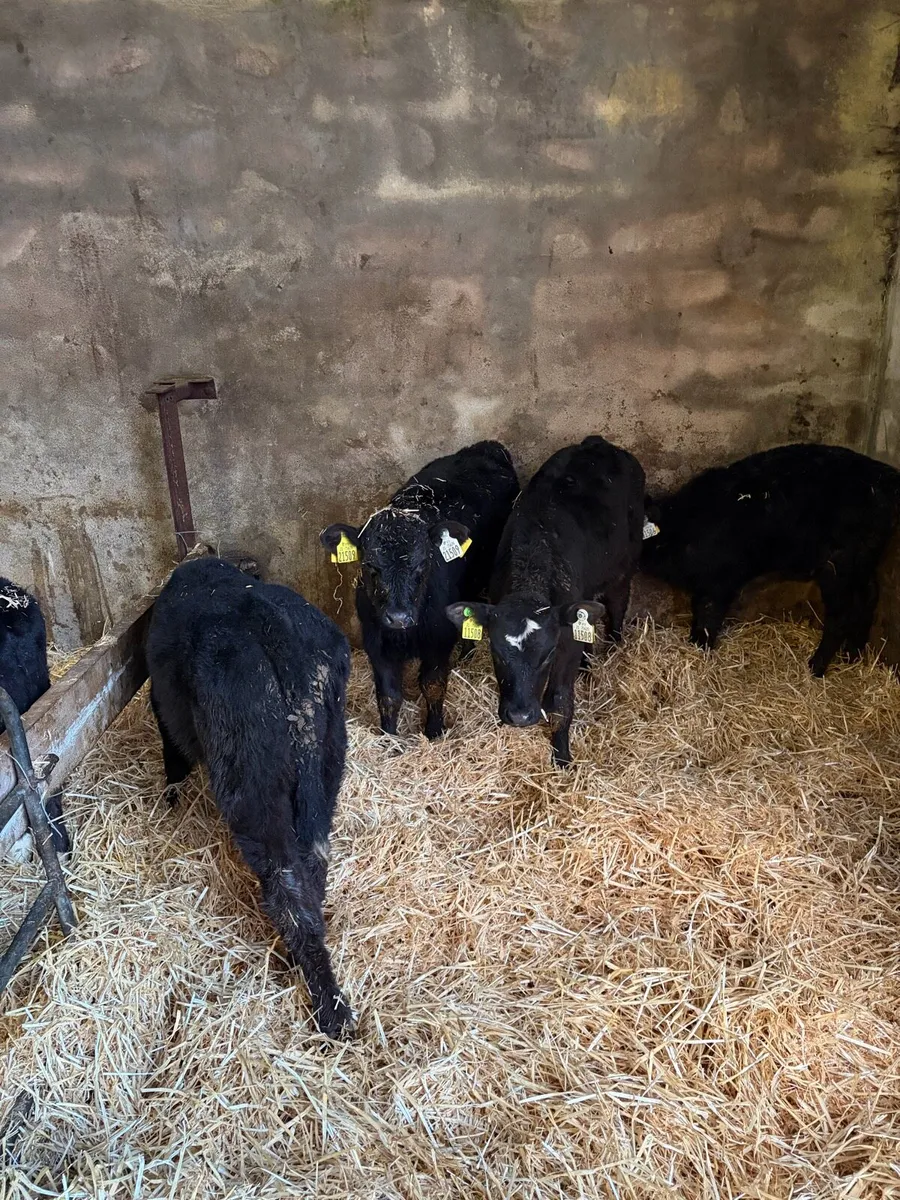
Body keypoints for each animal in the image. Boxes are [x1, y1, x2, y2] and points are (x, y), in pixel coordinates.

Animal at [146, 555, 354, 1039]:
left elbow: (172, 758)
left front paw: (170, 801)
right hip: (327, 761)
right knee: (312, 866)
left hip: (252, 784)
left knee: (286, 880)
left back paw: (329, 1008)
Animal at [320, 440, 519, 740]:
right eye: (369, 565)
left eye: (423, 563)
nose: (398, 617)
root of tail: (486, 447)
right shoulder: (376, 643)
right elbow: (388, 695)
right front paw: (389, 738)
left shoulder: (439, 639)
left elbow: (433, 684)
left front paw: (434, 731)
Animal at [447, 435, 646, 767]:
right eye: (496, 651)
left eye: (548, 654)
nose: (520, 716)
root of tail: (598, 443)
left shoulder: (565, 644)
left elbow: (560, 702)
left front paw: (561, 755)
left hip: (624, 564)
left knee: (618, 605)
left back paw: (615, 646)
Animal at [640, 443, 900, 676]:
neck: (681, 531)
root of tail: (886, 478)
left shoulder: (720, 582)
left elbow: (708, 616)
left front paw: (699, 648)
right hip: (864, 558)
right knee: (870, 595)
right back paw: (851, 655)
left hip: (839, 563)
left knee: (841, 613)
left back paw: (815, 668)